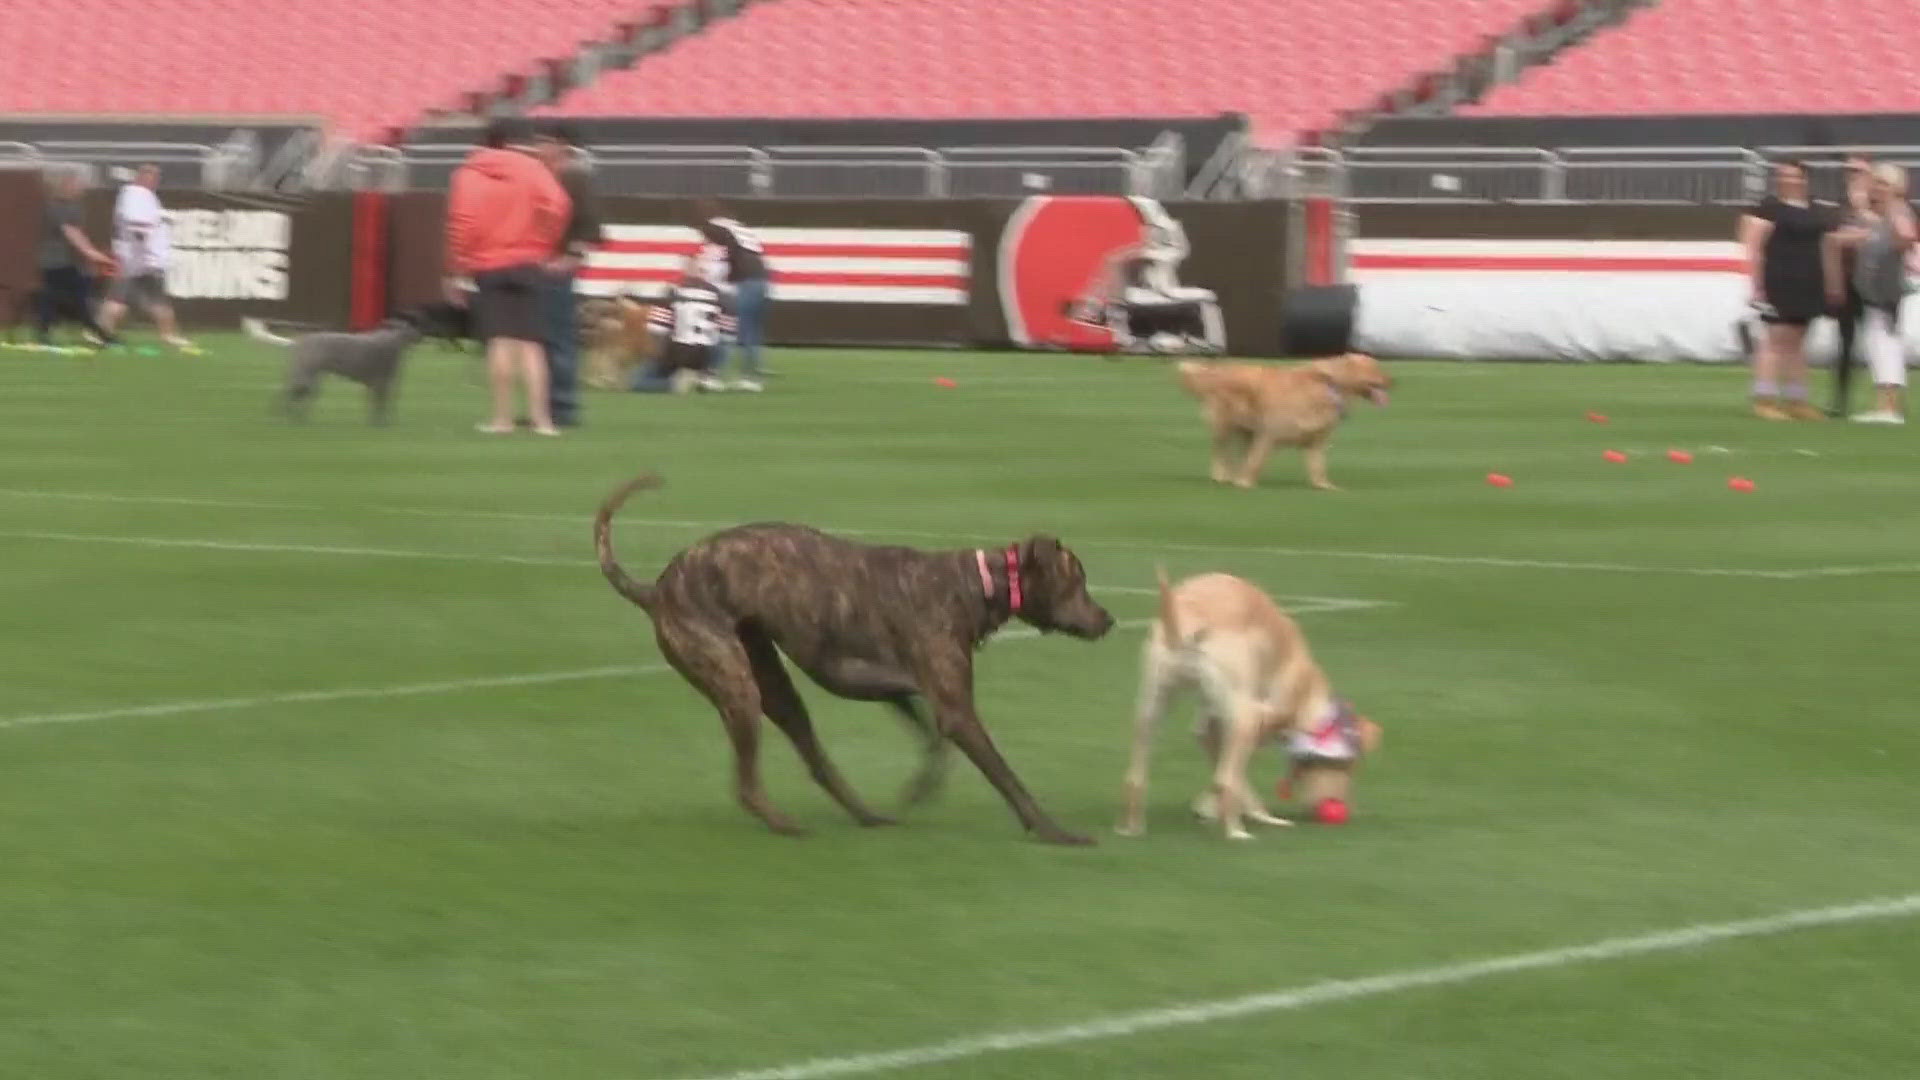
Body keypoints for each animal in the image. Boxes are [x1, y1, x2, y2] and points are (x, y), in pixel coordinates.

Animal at [591, 470, 1121, 841]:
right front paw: (1054, 831)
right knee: (747, 785)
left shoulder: (895, 687)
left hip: (771, 683)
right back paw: (786, 825)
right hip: (735, 684)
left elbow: (933, 741)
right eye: (1078, 580)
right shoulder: (954, 708)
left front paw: (921, 786)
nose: (1109, 620)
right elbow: (1007, 777)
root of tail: (655, 591)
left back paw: (867, 814)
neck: (974, 585)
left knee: (816, 762)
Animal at [1113, 568, 1382, 837]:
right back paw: (1237, 833)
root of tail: (1187, 622)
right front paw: (1243, 814)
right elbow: (1232, 779)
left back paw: (1133, 829)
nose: (1341, 806)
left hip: (1151, 707)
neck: (1306, 691)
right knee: (1225, 781)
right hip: (1244, 717)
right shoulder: (1251, 723)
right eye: (1347, 766)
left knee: (1135, 777)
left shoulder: (1208, 726)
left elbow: (1228, 774)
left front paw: (1215, 809)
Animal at [1175, 351, 1390, 490]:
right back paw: (1222, 476)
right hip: (1224, 426)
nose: (1393, 381)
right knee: (1220, 452)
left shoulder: (1316, 442)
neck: (1329, 388)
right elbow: (1256, 461)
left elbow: (1318, 467)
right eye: (1375, 369)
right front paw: (1245, 484)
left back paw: (1233, 476)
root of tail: (1217, 372)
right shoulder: (1269, 434)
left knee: (1239, 454)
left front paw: (1324, 485)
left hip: (1246, 431)